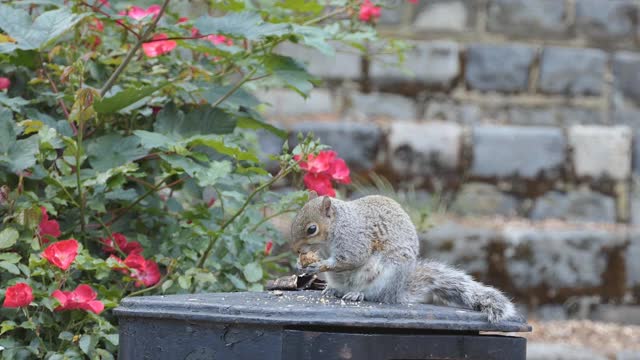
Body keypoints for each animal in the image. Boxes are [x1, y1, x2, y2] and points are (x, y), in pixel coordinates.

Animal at [292, 193, 516, 322]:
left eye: (312, 229)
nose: (295, 249)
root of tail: (397, 291)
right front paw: (300, 263)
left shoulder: (354, 238)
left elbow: (351, 259)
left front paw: (318, 265)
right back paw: (333, 290)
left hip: (385, 276)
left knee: (375, 295)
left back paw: (358, 294)